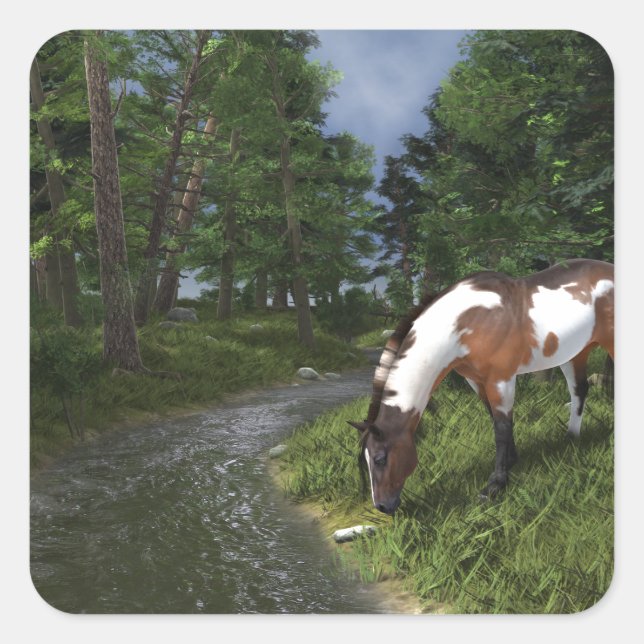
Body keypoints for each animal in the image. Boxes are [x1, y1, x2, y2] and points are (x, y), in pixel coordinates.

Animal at [348, 259, 614, 515]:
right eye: (366, 459)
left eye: (380, 459)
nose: (382, 507)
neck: (469, 320)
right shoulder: (476, 380)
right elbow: (494, 418)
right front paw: (510, 462)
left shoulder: (501, 378)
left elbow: (502, 427)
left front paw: (495, 485)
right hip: (576, 353)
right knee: (579, 390)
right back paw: (571, 438)